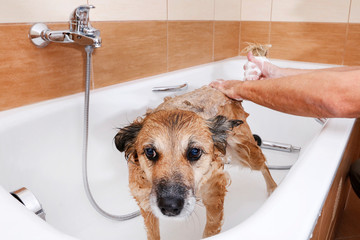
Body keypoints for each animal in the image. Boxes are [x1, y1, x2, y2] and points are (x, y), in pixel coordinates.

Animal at [114, 85, 278, 239]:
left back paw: (273, 188)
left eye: (194, 152)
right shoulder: (145, 202)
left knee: (263, 165)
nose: (170, 207)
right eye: (150, 152)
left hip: (245, 153)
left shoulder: (214, 193)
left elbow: (210, 230)